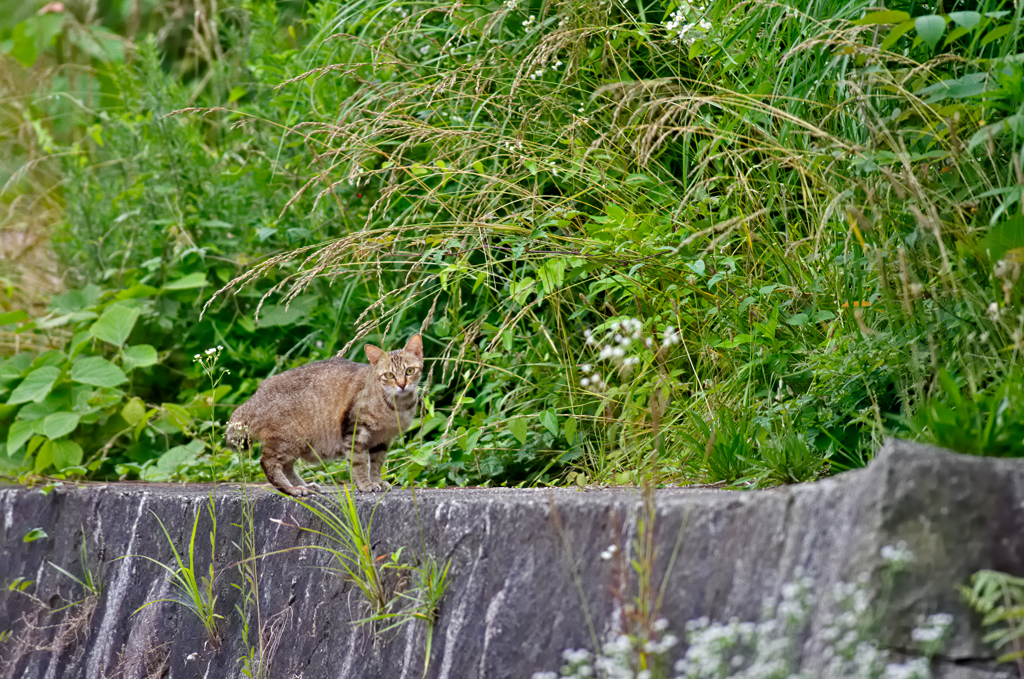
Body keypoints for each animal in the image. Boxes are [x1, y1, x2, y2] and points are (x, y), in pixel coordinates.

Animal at [228, 335, 423, 499]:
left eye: (410, 371)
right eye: (389, 375)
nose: (402, 385)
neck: (397, 407)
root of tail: (254, 397)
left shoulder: (382, 440)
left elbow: (376, 464)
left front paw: (376, 481)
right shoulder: (355, 431)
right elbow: (359, 463)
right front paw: (365, 484)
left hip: (295, 443)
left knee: (287, 466)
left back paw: (304, 486)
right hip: (287, 439)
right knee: (268, 463)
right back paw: (292, 489)